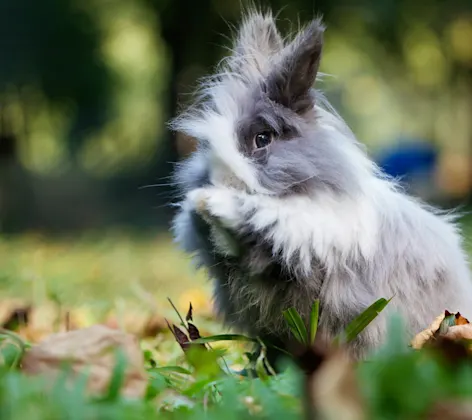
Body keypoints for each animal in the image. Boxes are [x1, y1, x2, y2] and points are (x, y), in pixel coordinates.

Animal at [168, 10, 472, 364]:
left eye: (262, 139)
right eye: (205, 145)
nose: (217, 182)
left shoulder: (313, 228)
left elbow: (271, 220)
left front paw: (215, 203)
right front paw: (201, 207)